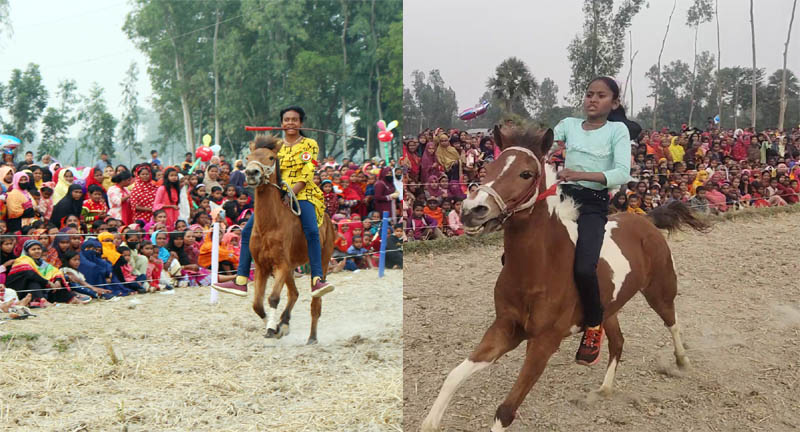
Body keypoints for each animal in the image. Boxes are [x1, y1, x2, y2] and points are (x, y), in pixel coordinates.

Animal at [241, 135, 334, 344]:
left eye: (271, 157)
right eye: (248, 157)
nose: (251, 172)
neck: (270, 225)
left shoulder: (282, 264)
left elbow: (273, 298)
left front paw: (271, 328)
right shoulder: (262, 266)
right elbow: (257, 304)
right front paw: (274, 326)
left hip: (322, 260)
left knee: (316, 302)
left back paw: (312, 337)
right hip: (290, 268)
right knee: (294, 293)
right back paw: (284, 323)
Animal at [418, 125, 708, 432]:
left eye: (526, 173)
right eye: (489, 167)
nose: (473, 210)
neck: (538, 268)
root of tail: (647, 221)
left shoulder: (544, 342)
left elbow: (506, 410)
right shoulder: (505, 329)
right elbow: (453, 376)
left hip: (660, 290)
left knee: (672, 322)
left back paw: (682, 362)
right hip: (607, 310)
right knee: (618, 342)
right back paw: (604, 388)